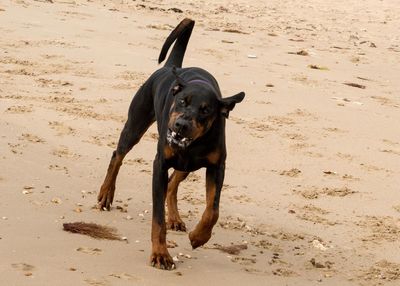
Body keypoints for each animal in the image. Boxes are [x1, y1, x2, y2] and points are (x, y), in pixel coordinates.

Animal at [98, 18, 245, 270]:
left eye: (205, 110)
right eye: (182, 101)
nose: (181, 124)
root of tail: (170, 67)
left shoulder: (217, 167)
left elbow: (213, 210)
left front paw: (198, 237)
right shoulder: (160, 164)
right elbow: (158, 219)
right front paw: (160, 254)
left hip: (187, 164)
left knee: (174, 182)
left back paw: (175, 218)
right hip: (135, 123)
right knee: (118, 154)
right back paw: (106, 193)